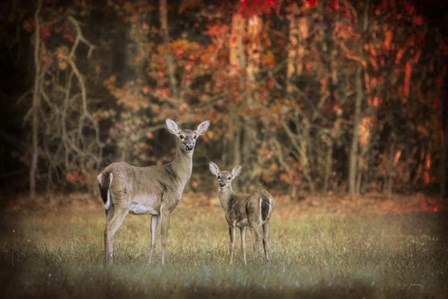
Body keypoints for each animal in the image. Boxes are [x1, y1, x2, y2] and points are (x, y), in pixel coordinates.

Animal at [98, 119, 210, 264]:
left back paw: (106, 261)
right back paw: (110, 262)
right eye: (181, 136)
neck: (177, 176)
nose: (190, 146)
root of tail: (107, 172)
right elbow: (164, 238)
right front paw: (163, 263)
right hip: (122, 202)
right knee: (110, 230)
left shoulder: (155, 212)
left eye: (195, 136)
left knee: (105, 228)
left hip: (109, 206)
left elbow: (153, 240)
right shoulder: (167, 206)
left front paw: (149, 263)